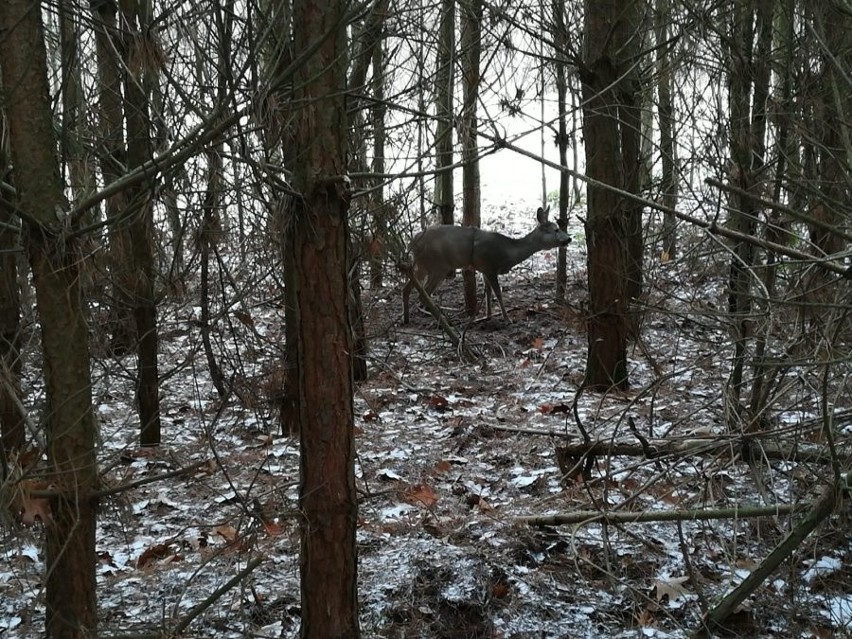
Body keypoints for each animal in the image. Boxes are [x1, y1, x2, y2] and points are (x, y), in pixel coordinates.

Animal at [402, 206, 572, 324]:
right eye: (556, 229)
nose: (569, 238)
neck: (507, 252)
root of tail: (412, 242)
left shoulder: (483, 268)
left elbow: (488, 291)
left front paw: (488, 315)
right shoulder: (490, 266)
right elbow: (498, 292)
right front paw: (507, 319)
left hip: (421, 266)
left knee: (407, 289)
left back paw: (407, 319)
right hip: (439, 265)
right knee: (423, 294)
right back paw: (441, 319)